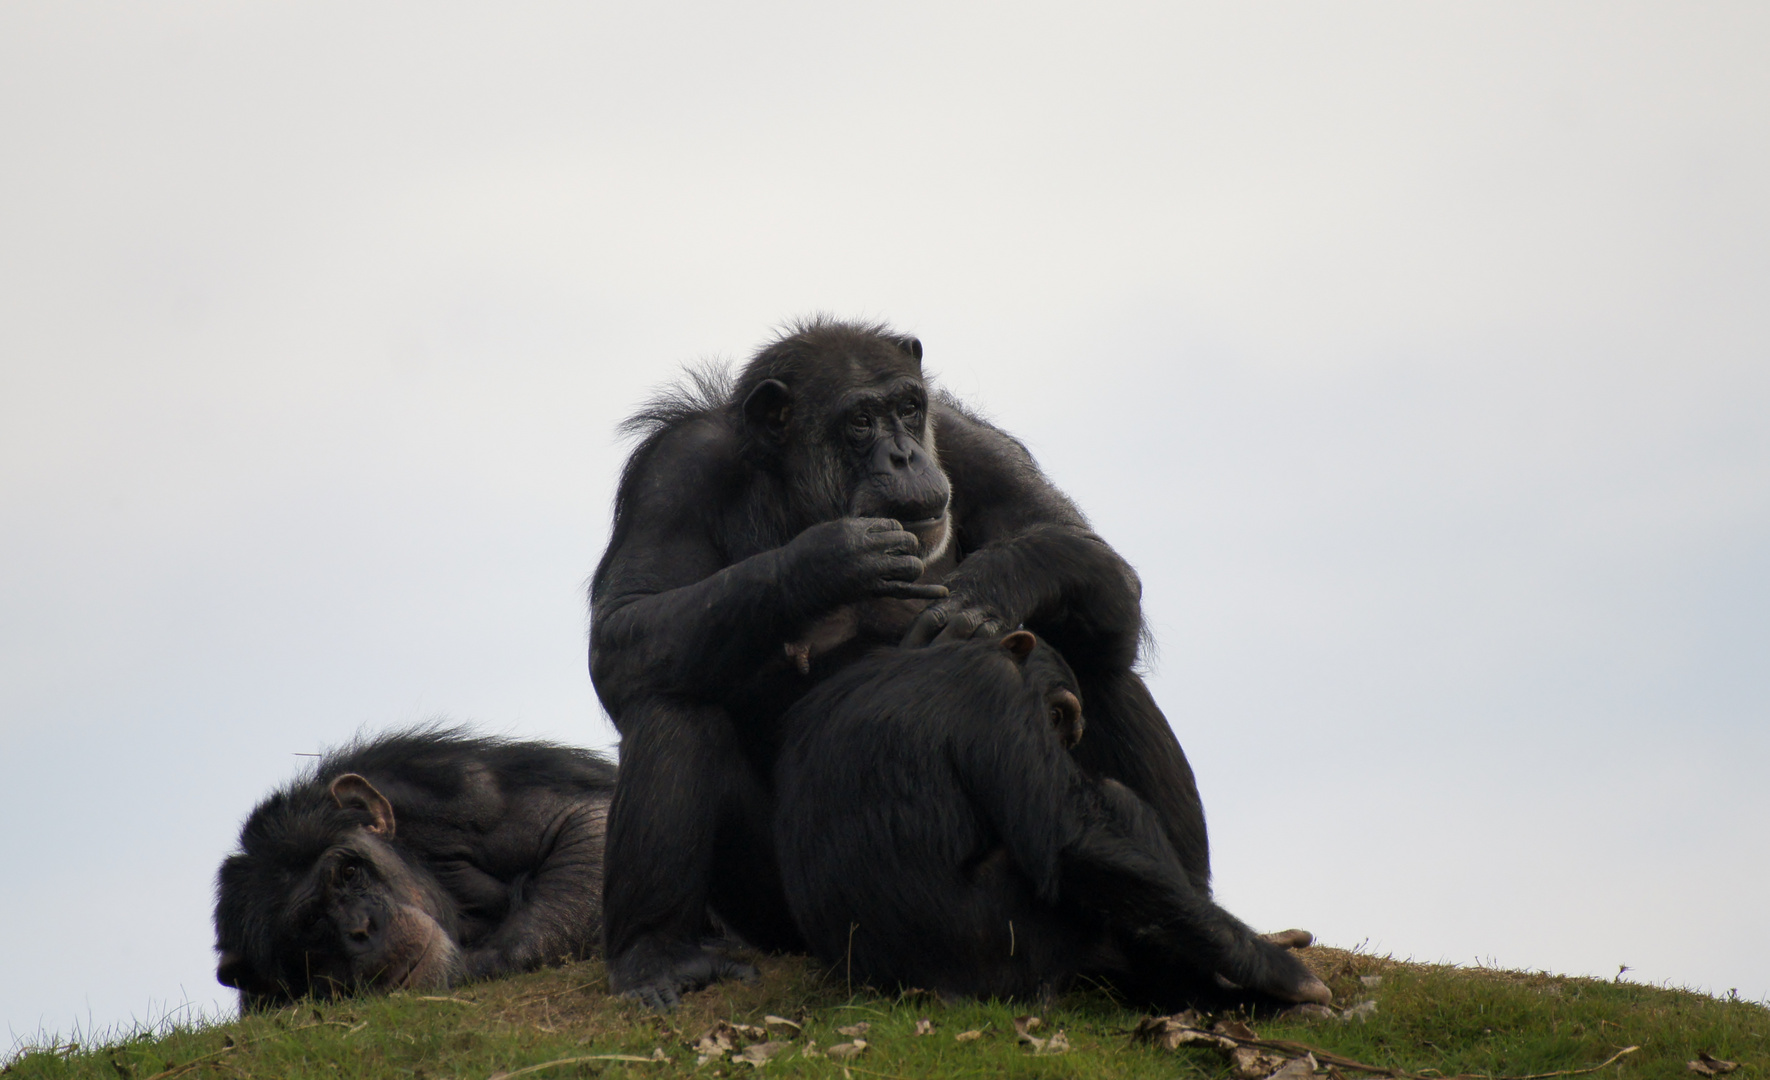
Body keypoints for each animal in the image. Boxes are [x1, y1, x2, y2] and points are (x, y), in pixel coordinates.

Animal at [594, 315, 1274, 1005]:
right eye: (860, 421)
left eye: (907, 409)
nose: (903, 454)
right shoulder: (674, 472)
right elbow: (623, 625)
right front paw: (828, 558)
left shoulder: (972, 444)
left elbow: (1097, 560)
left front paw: (990, 587)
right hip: (781, 922)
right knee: (670, 699)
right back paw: (658, 955)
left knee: (1101, 657)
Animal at [775, 630, 1331, 1005]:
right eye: (1058, 714)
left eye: (1066, 725)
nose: (1064, 741)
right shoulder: (998, 694)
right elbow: (1072, 840)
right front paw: (1273, 970)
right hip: (1005, 954)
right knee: (1110, 814)